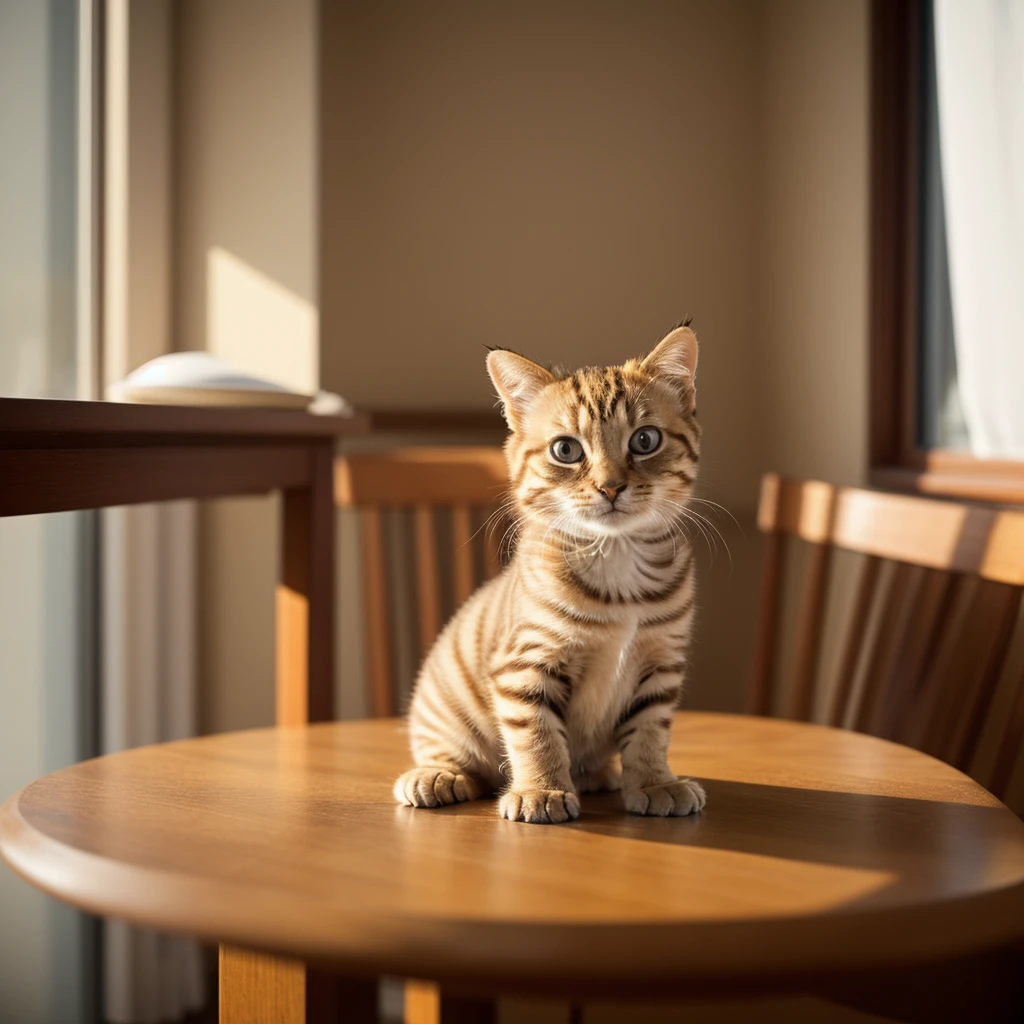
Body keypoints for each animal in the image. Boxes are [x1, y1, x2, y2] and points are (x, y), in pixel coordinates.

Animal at [391, 327, 704, 823]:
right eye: (566, 450)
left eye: (645, 440)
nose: (611, 487)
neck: (617, 559)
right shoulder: (525, 666)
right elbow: (536, 736)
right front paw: (541, 791)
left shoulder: (660, 665)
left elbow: (650, 734)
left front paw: (656, 781)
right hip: (443, 711)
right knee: (450, 755)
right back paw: (437, 776)